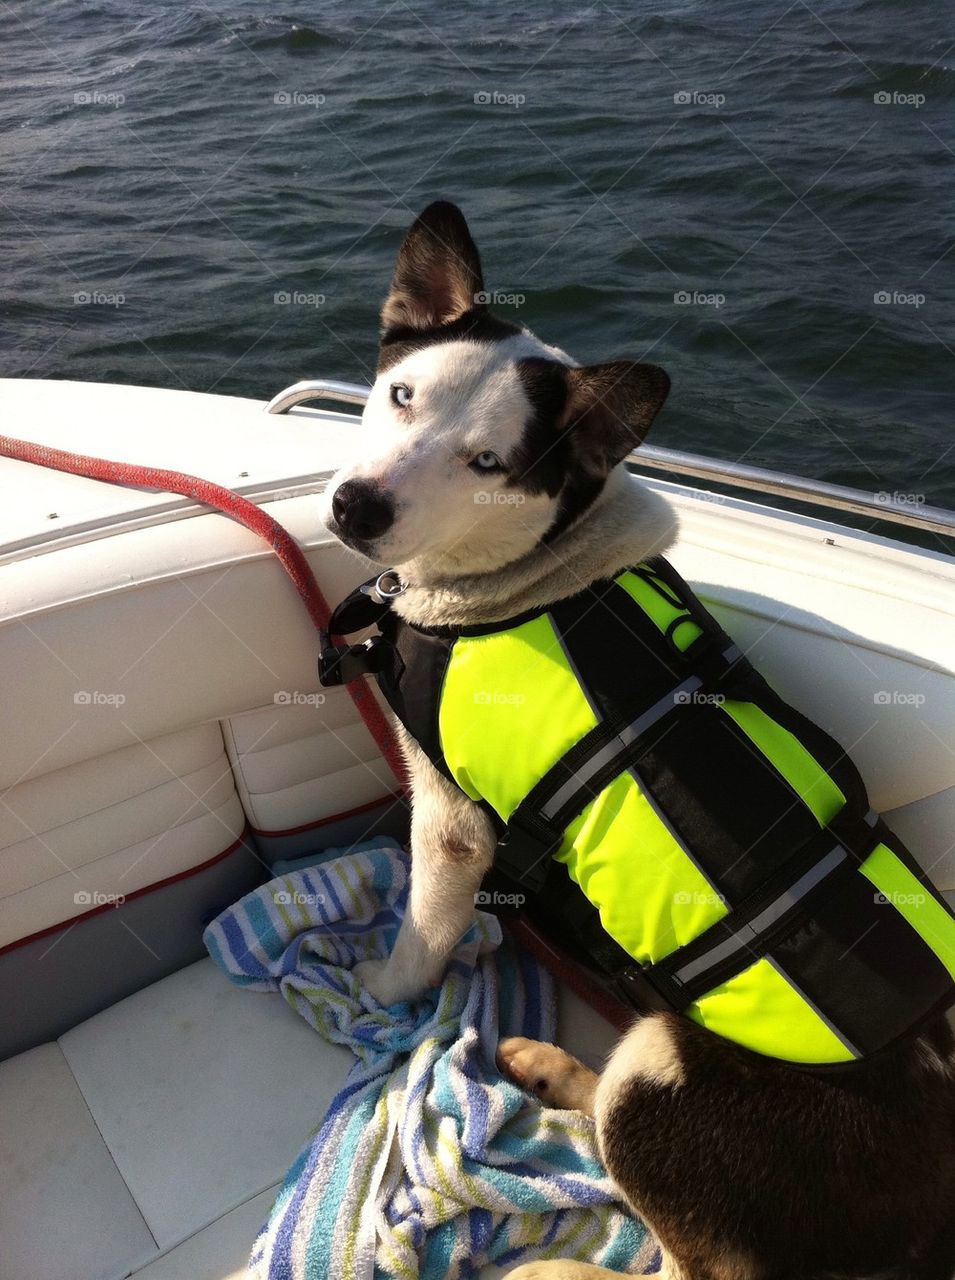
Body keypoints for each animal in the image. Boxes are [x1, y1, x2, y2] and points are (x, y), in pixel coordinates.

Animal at [321, 202, 952, 1280]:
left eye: (487, 464)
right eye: (400, 394)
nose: (354, 507)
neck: (527, 579)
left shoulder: (452, 823)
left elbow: (421, 932)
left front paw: (385, 989)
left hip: (671, 1089)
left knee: (674, 1249)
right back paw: (543, 1065)